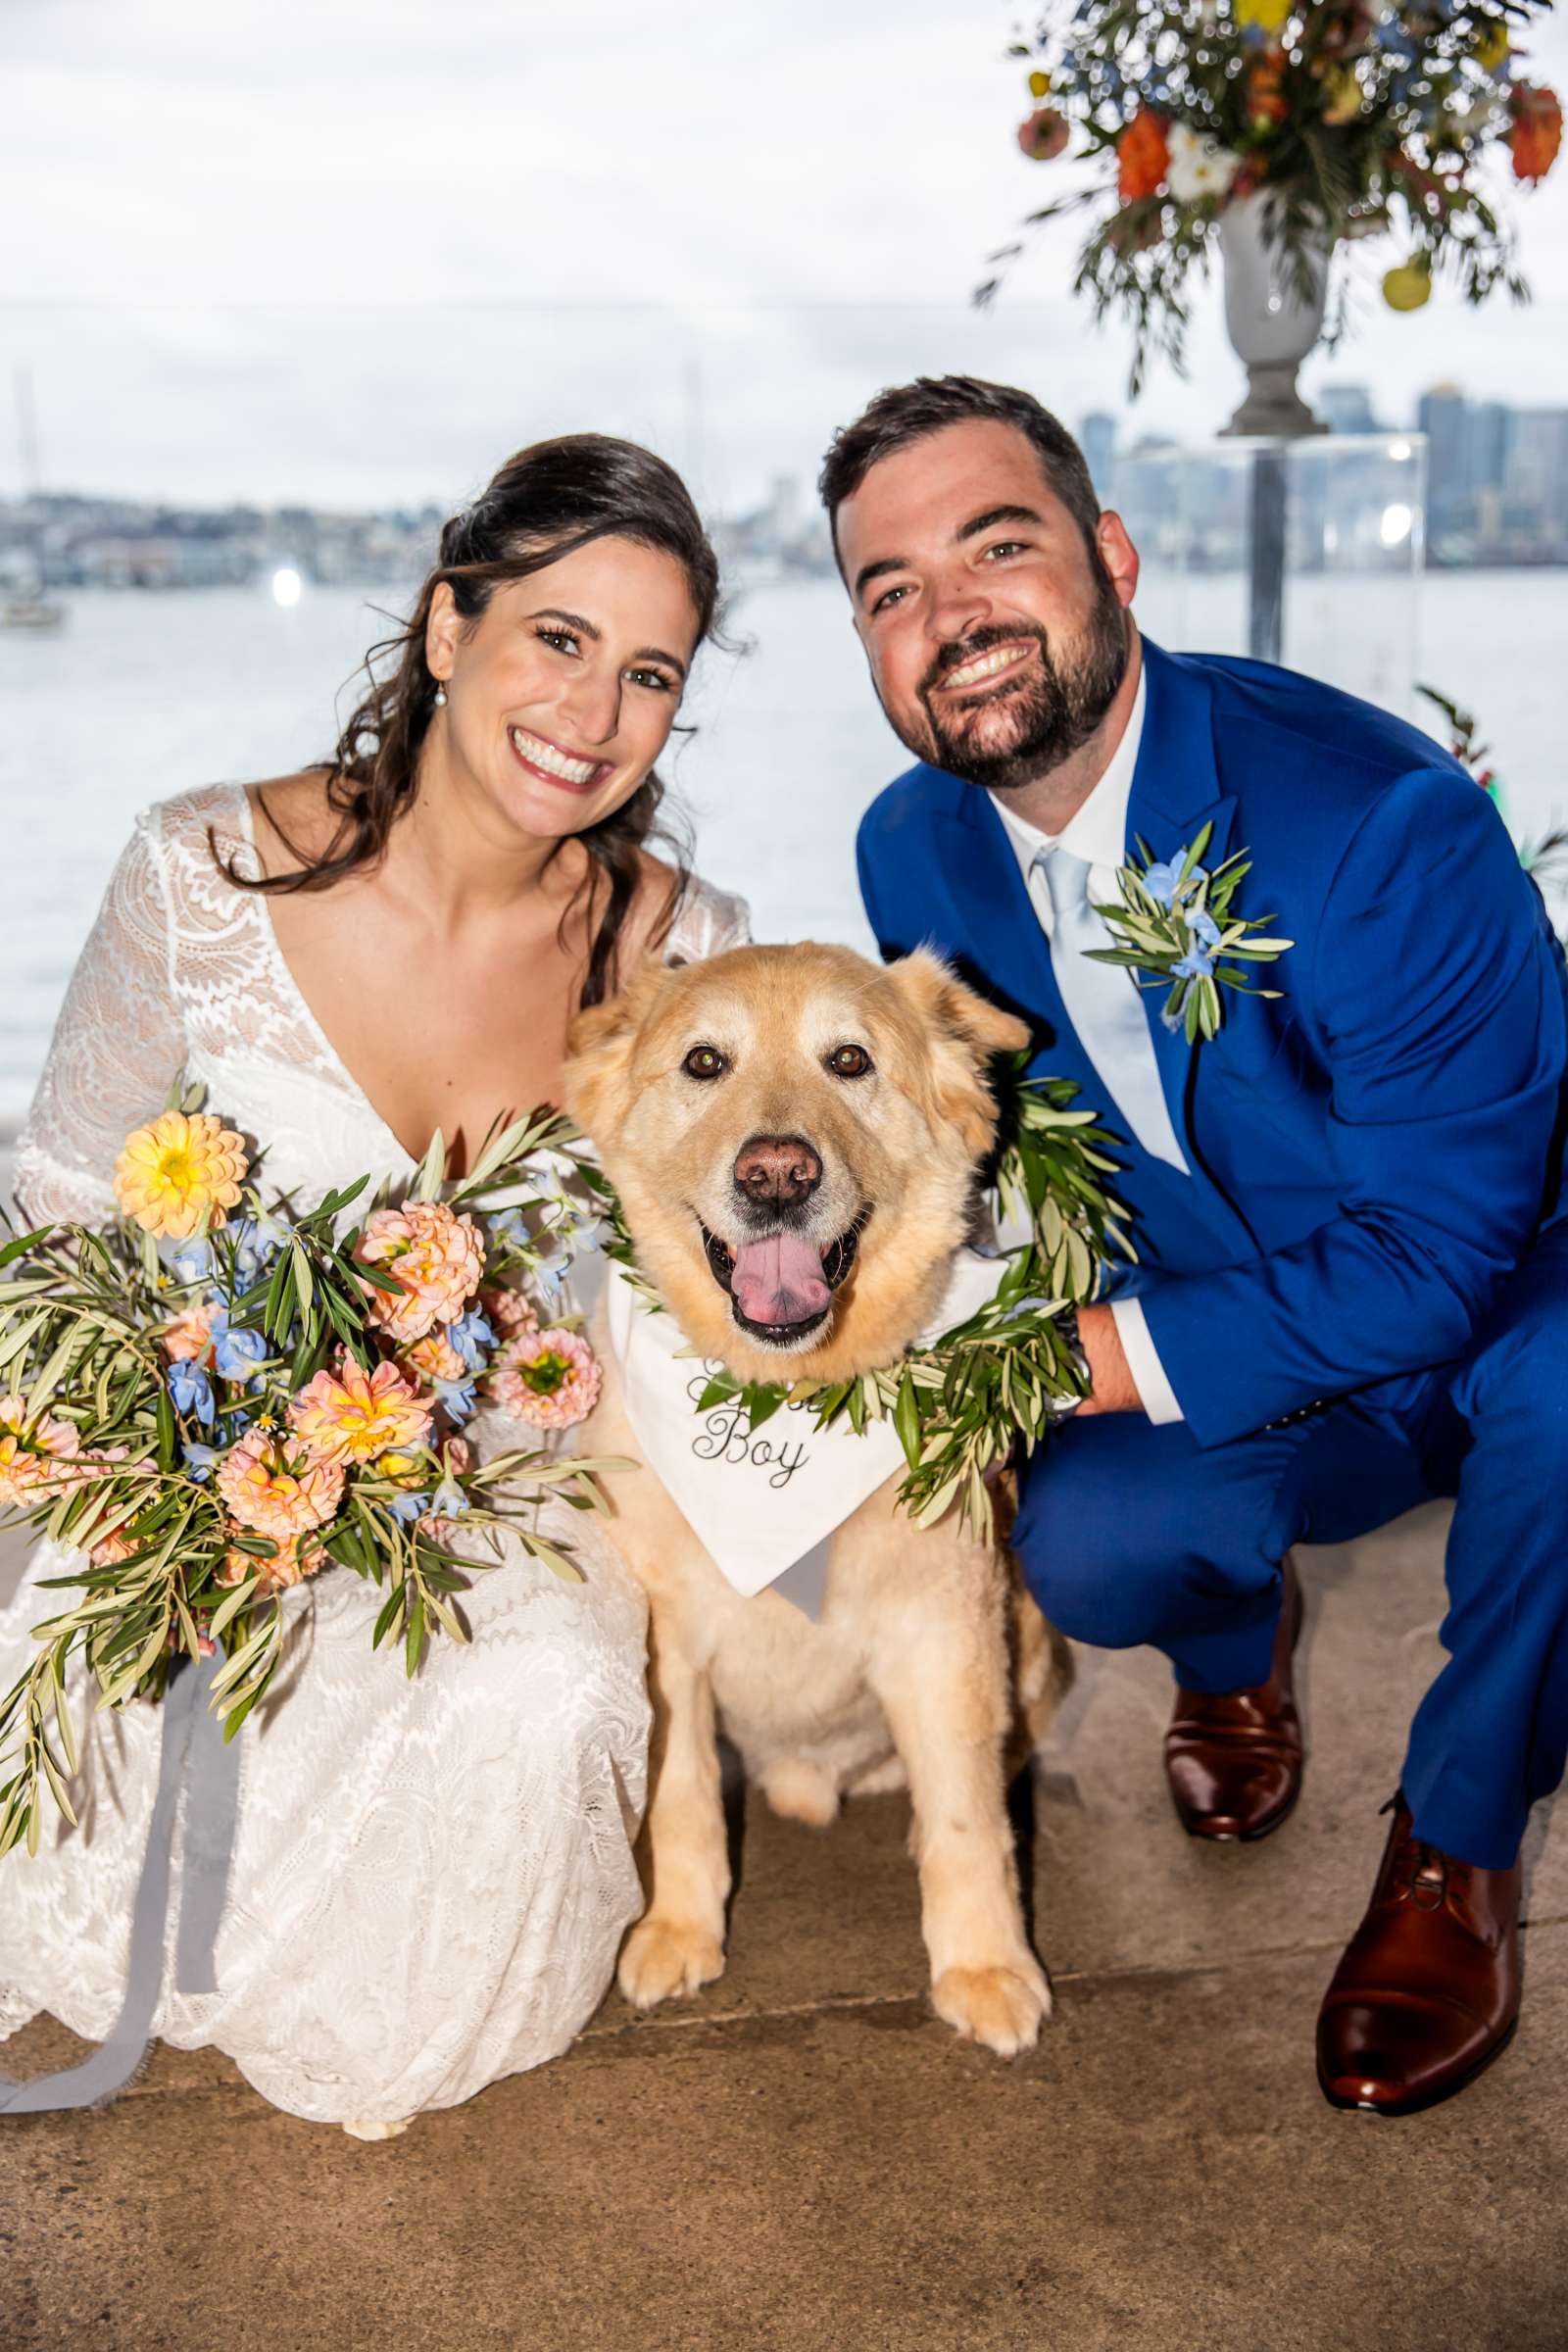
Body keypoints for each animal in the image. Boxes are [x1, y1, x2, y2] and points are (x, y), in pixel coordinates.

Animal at [562, 945, 1067, 2050]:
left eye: (850, 1060)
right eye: (704, 1061)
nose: (777, 1176)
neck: (783, 1405)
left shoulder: (944, 1633)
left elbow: (969, 1819)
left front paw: (984, 1964)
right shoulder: (668, 1645)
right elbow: (683, 1798)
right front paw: (678, 1931)